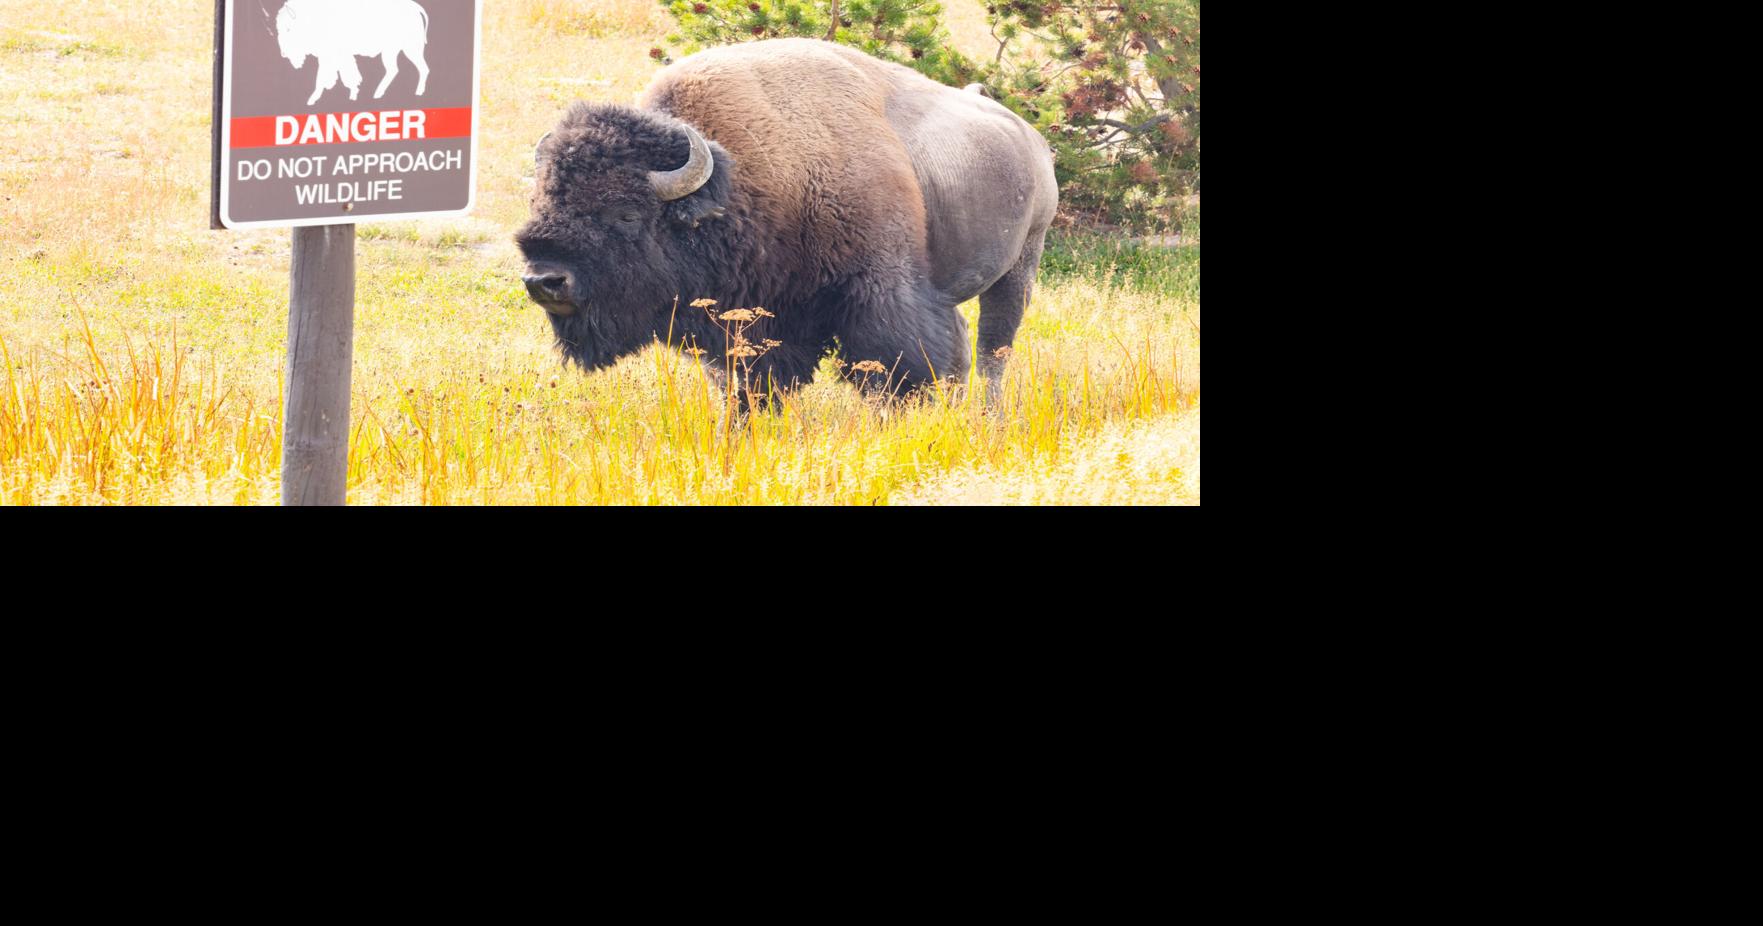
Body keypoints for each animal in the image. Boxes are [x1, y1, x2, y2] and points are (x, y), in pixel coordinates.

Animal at [515, 38, 1058, 398]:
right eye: (542, 202)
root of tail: (1029, 139)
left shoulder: (879, 294)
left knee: (993, 350)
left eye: (627, 214)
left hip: (1020, 266)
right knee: (965, 344)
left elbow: (893, 367)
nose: (546, 281)